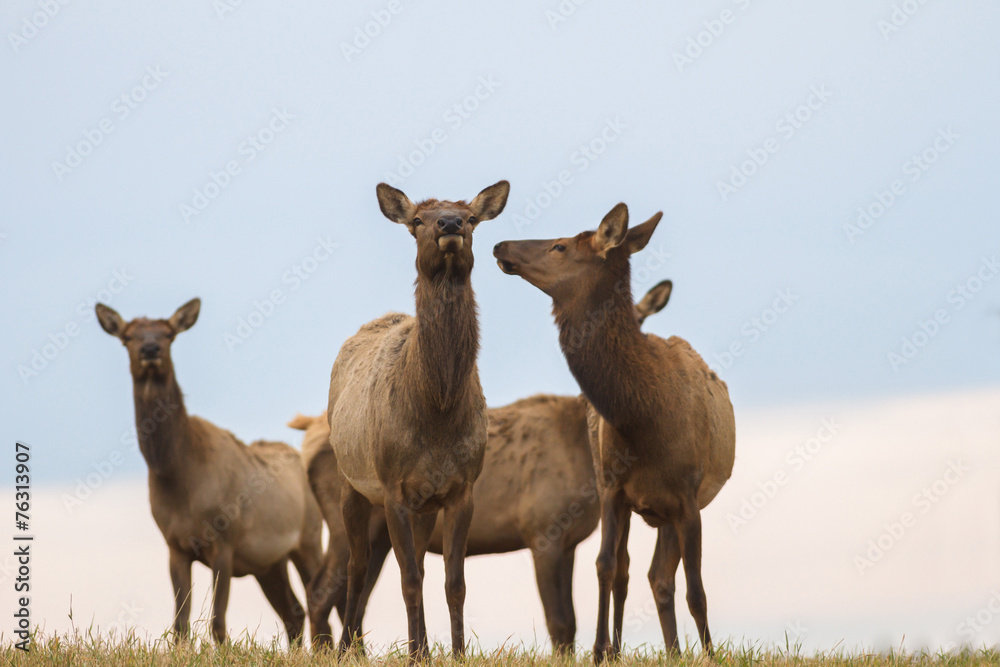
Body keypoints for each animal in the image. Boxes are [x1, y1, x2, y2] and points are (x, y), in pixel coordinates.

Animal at [96, 302, 326, 648]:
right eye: (127, 336)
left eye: (169, 334)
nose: (150, 349)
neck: (179, 477)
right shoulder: (174, 545)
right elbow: (180, 624)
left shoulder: (225, 539)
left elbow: (218, 622)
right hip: (270, 563)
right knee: (295, 611)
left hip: (309, 537)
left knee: (320, 599)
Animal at [328, 180, 512, 660]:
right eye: (416, 220)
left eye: (471, 218)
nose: (448, 224)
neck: (437, 414)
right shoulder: (393, 487)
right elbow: (408, 579)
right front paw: (415, 655)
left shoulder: (461, 488)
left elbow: (454, 583)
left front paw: (456, 653)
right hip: (350, 480)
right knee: (355, 565)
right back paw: (347, 648)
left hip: (424, 505)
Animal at [492, 205, 736, 664]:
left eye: (560, 246)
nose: (499, 245)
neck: (644, 420)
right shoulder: (611, 488)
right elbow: (606, 566)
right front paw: (600, 651)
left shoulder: (688, 496)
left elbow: (697, 589)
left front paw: (711, 654)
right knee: (638, 572)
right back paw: (647, 649)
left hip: (672, 510)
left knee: (663, 577)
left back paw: (676, 651)